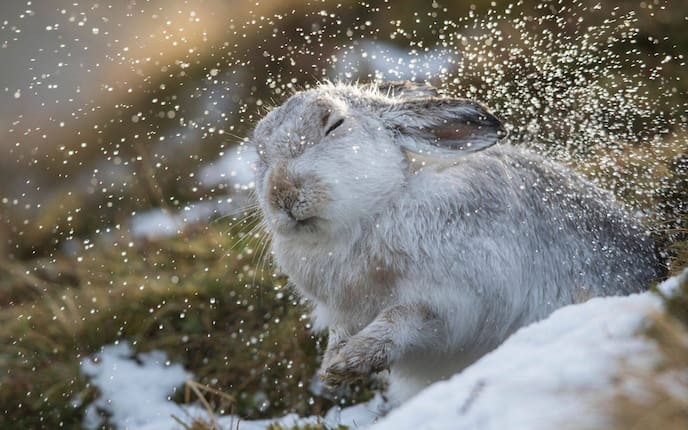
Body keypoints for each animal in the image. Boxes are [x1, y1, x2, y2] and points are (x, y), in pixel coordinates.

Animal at [250, 81, 663, 404]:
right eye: (259, 154)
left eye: (334, 124)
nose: (282, 195)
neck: (377, 210)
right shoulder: (343, 311)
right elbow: (342, 330)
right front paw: (332, 366)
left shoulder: (456, 301)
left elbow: (403, 318)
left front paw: (350, 361)